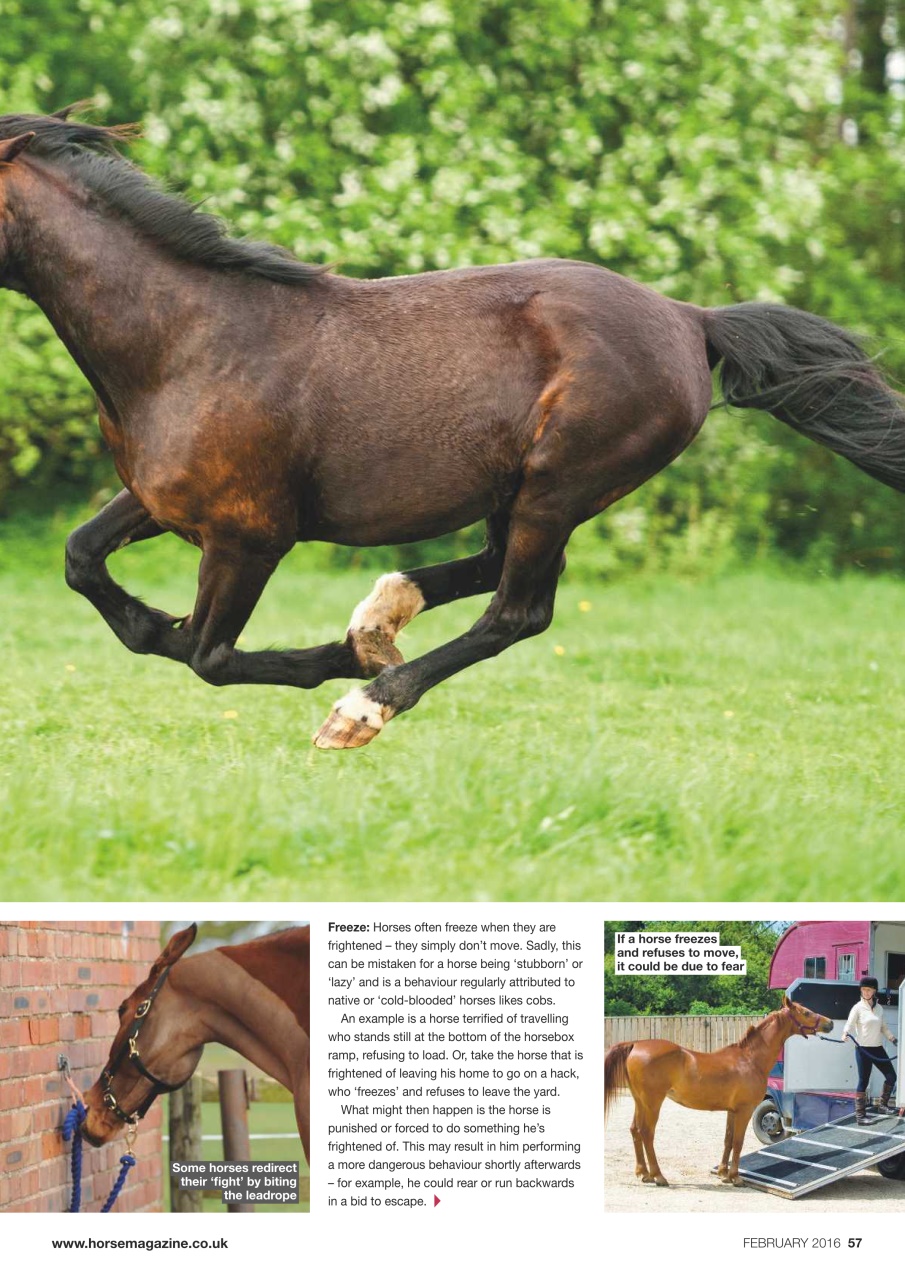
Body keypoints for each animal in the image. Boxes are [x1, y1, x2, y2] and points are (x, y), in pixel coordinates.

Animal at [3, 108, 905, 750]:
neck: (184, 342)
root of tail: (692, 319)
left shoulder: (249, 535)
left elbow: (208, 656)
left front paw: (345, 667)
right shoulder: (160, 500)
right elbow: (85, 563)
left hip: (559, 483)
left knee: (516, 612)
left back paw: (365, 704)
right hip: (522, 488)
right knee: (492, 570)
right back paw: (380, 616)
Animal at [603, 995, 832, 1187]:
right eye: (806, 1012)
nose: (829, 1023)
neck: (750, 1059)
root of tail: (635, 1044)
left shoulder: (732, 1111)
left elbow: (728, 1140)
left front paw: (723, 1173)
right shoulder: (745, 1110)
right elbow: (738, 1142)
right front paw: (736, 1178)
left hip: (639, 1101)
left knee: (635, 1130)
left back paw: (643, 1173)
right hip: (653, 1102)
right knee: (647, 1133)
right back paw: (659, 1176)